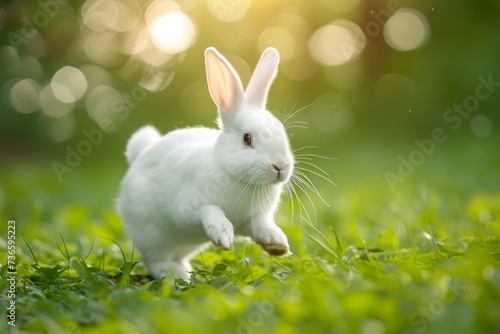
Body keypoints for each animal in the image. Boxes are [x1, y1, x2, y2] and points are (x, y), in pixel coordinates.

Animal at [119, 47, 294, 280]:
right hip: (153, 234)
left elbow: (261, 225)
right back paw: (177, 274)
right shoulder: (190, 208)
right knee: (154, 261)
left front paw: (277, 243)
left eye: (282, 132)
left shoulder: (251, 218)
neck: (238, 178)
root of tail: (138, 156)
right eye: (247, 138)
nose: (280, 166)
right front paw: (223, 234)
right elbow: (211, 211)